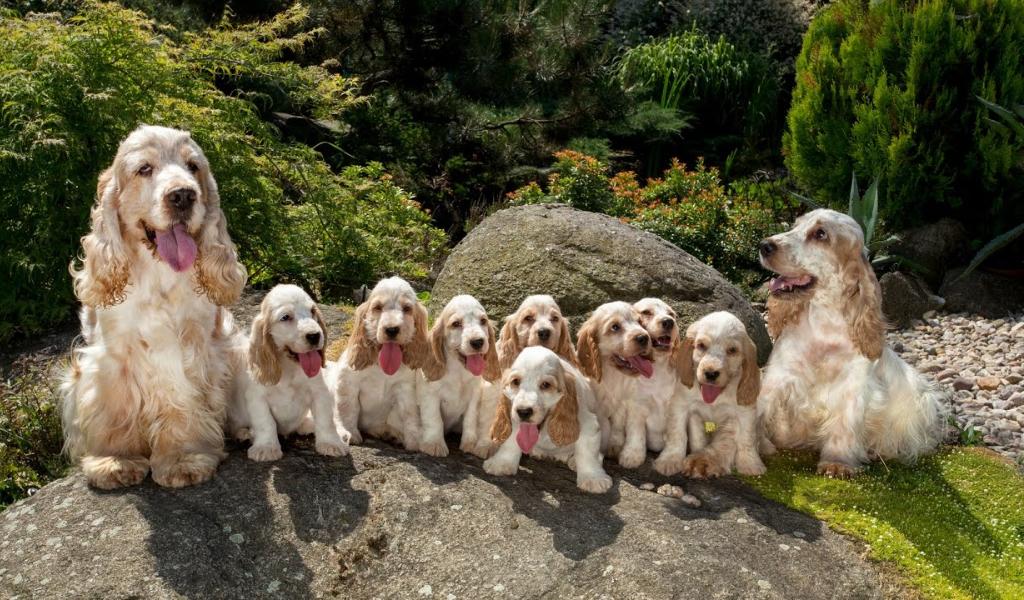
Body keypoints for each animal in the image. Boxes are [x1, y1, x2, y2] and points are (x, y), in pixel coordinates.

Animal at [62, 124, 248, 485]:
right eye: (144, 169)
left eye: (193, 167)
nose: (183, 196)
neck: (159, 274)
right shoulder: (113, 357)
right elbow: (115, 408)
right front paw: (116, 460)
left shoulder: (191, 349)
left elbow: (183, 401)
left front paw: (184, 458)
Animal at [479, 346, 606, 491]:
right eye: (515, 381)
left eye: (545, 384)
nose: (523, 412)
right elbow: (511, 441)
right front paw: (502, 463)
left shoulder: (589, 423)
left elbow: (587, 452)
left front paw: (593, 478)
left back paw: (574, 461)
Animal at [577, 298, 655, 462]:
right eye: (615, 327)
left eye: (639, 322)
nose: (644, 337)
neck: (614, 374)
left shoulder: (625, 401)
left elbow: (618, 423)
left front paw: (614, 445)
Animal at [675, 313, 765, 477]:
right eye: (701, 345)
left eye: (732, 350)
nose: (711, 373)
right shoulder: (690, 407)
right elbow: (696, 435)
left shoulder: (745, 412)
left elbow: (745, 438)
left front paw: (750, 465)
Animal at [761, 207, 942, 475]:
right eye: (795, 225)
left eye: (821, 234)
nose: (764, 245)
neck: (824, 323)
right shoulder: (781, 374)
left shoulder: (852, 386)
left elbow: (844, 425)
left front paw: (837, 463)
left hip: (920, 401)